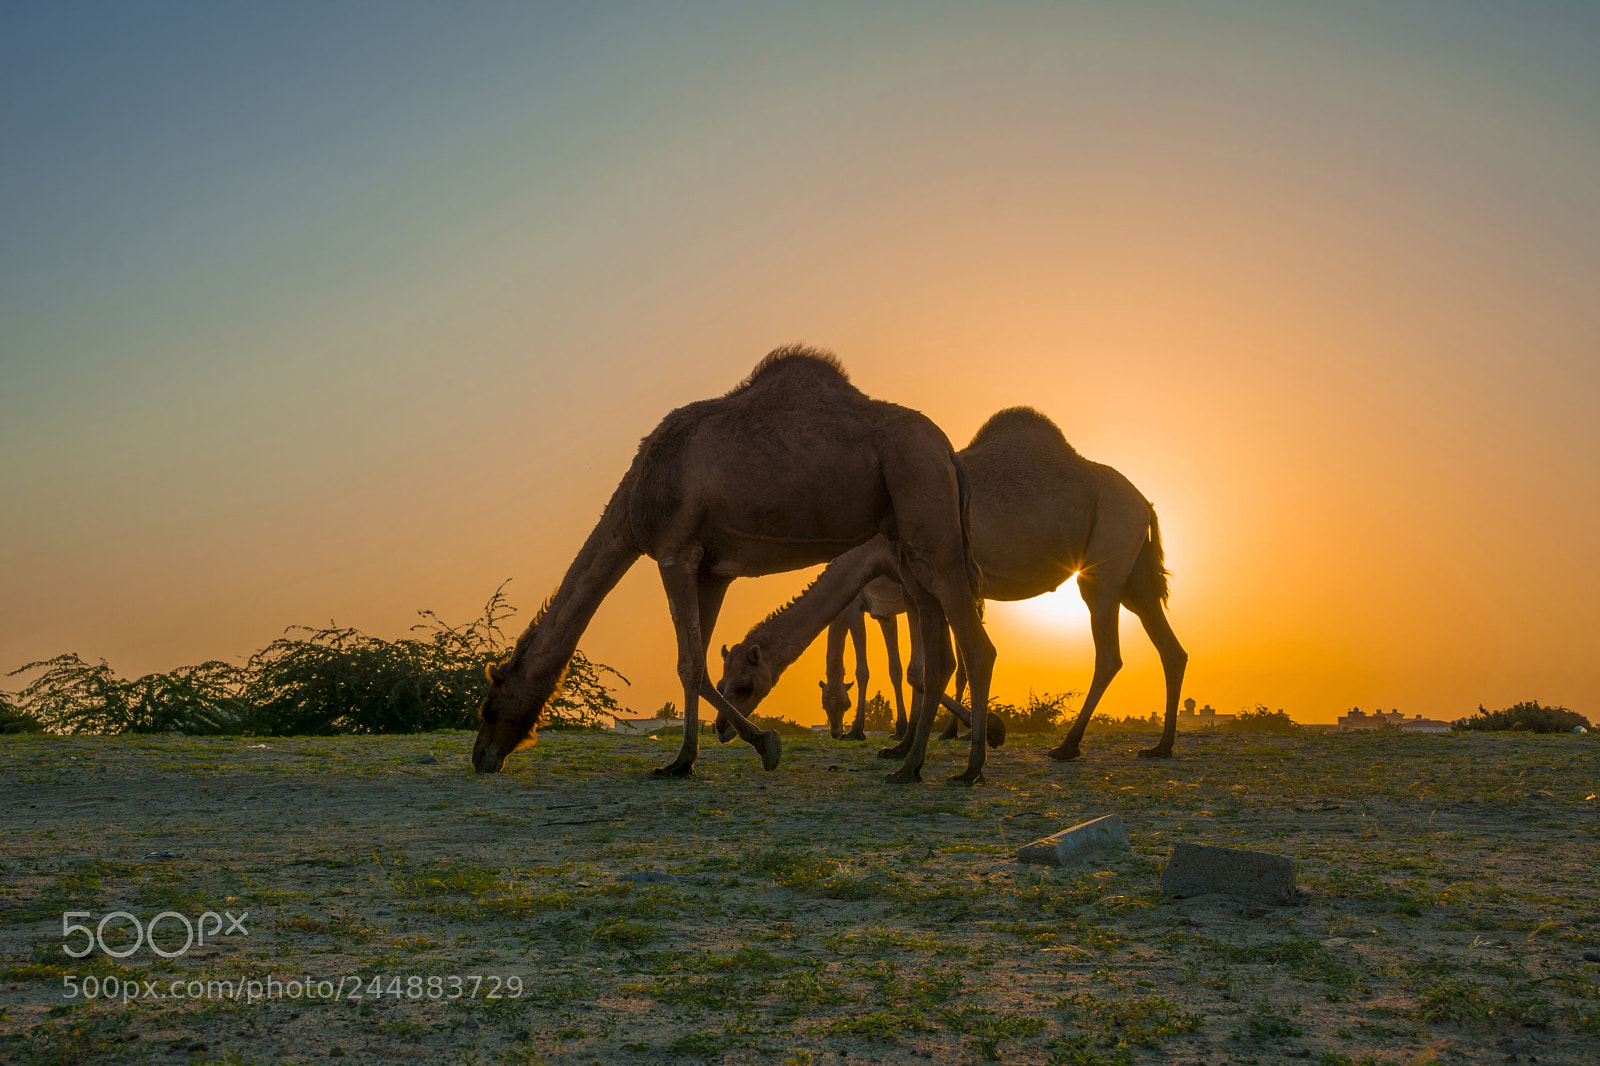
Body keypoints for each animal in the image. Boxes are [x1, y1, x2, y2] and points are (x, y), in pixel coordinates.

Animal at [471, 345, 996, 784]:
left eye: (489, 708)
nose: (481, 757)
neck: (637, 498)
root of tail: (949, 454)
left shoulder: (675, 551)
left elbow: (688, 663)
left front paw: (746, 748)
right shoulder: (713, 567)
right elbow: (699, 660)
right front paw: (696, 756)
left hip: (928, 517)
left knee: (977, 647)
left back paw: (968, 770)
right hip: (908, 545)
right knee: (940, 653)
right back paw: (909, 767)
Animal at [718, 406, 1187, 761]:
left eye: (744, 685)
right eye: (721, 683)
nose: (722, 728)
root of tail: (1146, 503)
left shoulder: (912, 581)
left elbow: (916, 669)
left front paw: (984, 731)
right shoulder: (911, 587)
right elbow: (919, 668)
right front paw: (907, 745)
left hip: (1103, 565)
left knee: (1109, 653)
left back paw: (1068, 746)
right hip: (1134, 575)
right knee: (1170, 648)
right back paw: (1161, 747)